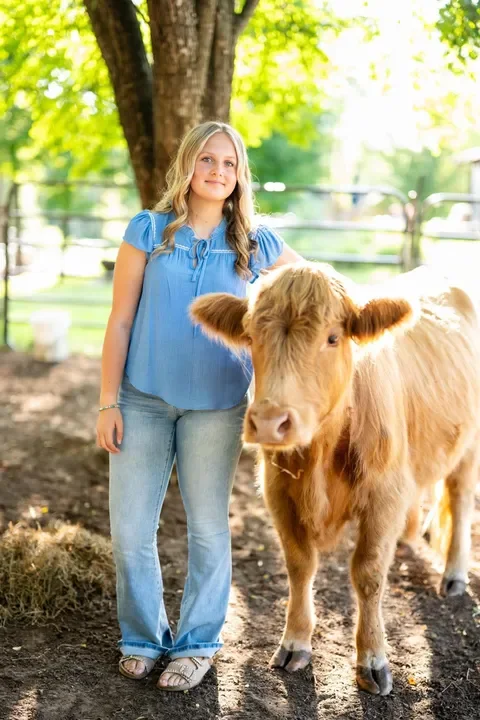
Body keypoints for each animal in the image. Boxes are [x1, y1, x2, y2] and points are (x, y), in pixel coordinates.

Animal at [190, 262, 480, 696]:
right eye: (251, 335)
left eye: (332, 337)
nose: (270, 422)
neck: (321, 457)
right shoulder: (279, 493)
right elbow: (299, 566)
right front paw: (295, 642)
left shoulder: (384, 497)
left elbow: (369, 573)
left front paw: (373, 658)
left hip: (470, 443)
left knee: (460, 499)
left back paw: (455, 575)